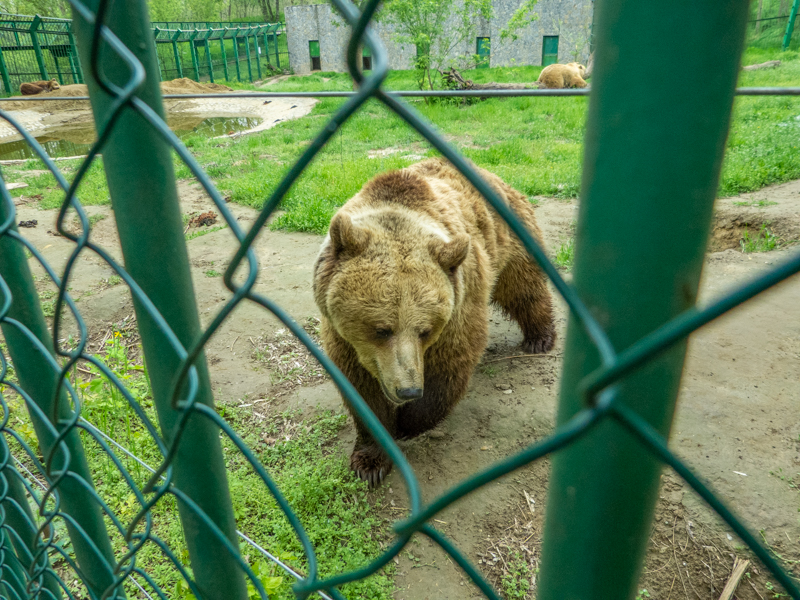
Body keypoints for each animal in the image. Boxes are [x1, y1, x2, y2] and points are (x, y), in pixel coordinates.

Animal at [313, 158, 555, 486]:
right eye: (381, 329)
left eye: (425, 330)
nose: (408, 390)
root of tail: (490, 174)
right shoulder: (342, 337)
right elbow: (361, 389)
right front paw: (370, 461)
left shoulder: (459, 304)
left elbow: (450, 365)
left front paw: (407, 423)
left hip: (509, 234)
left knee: (523, 285)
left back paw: (539, 338)